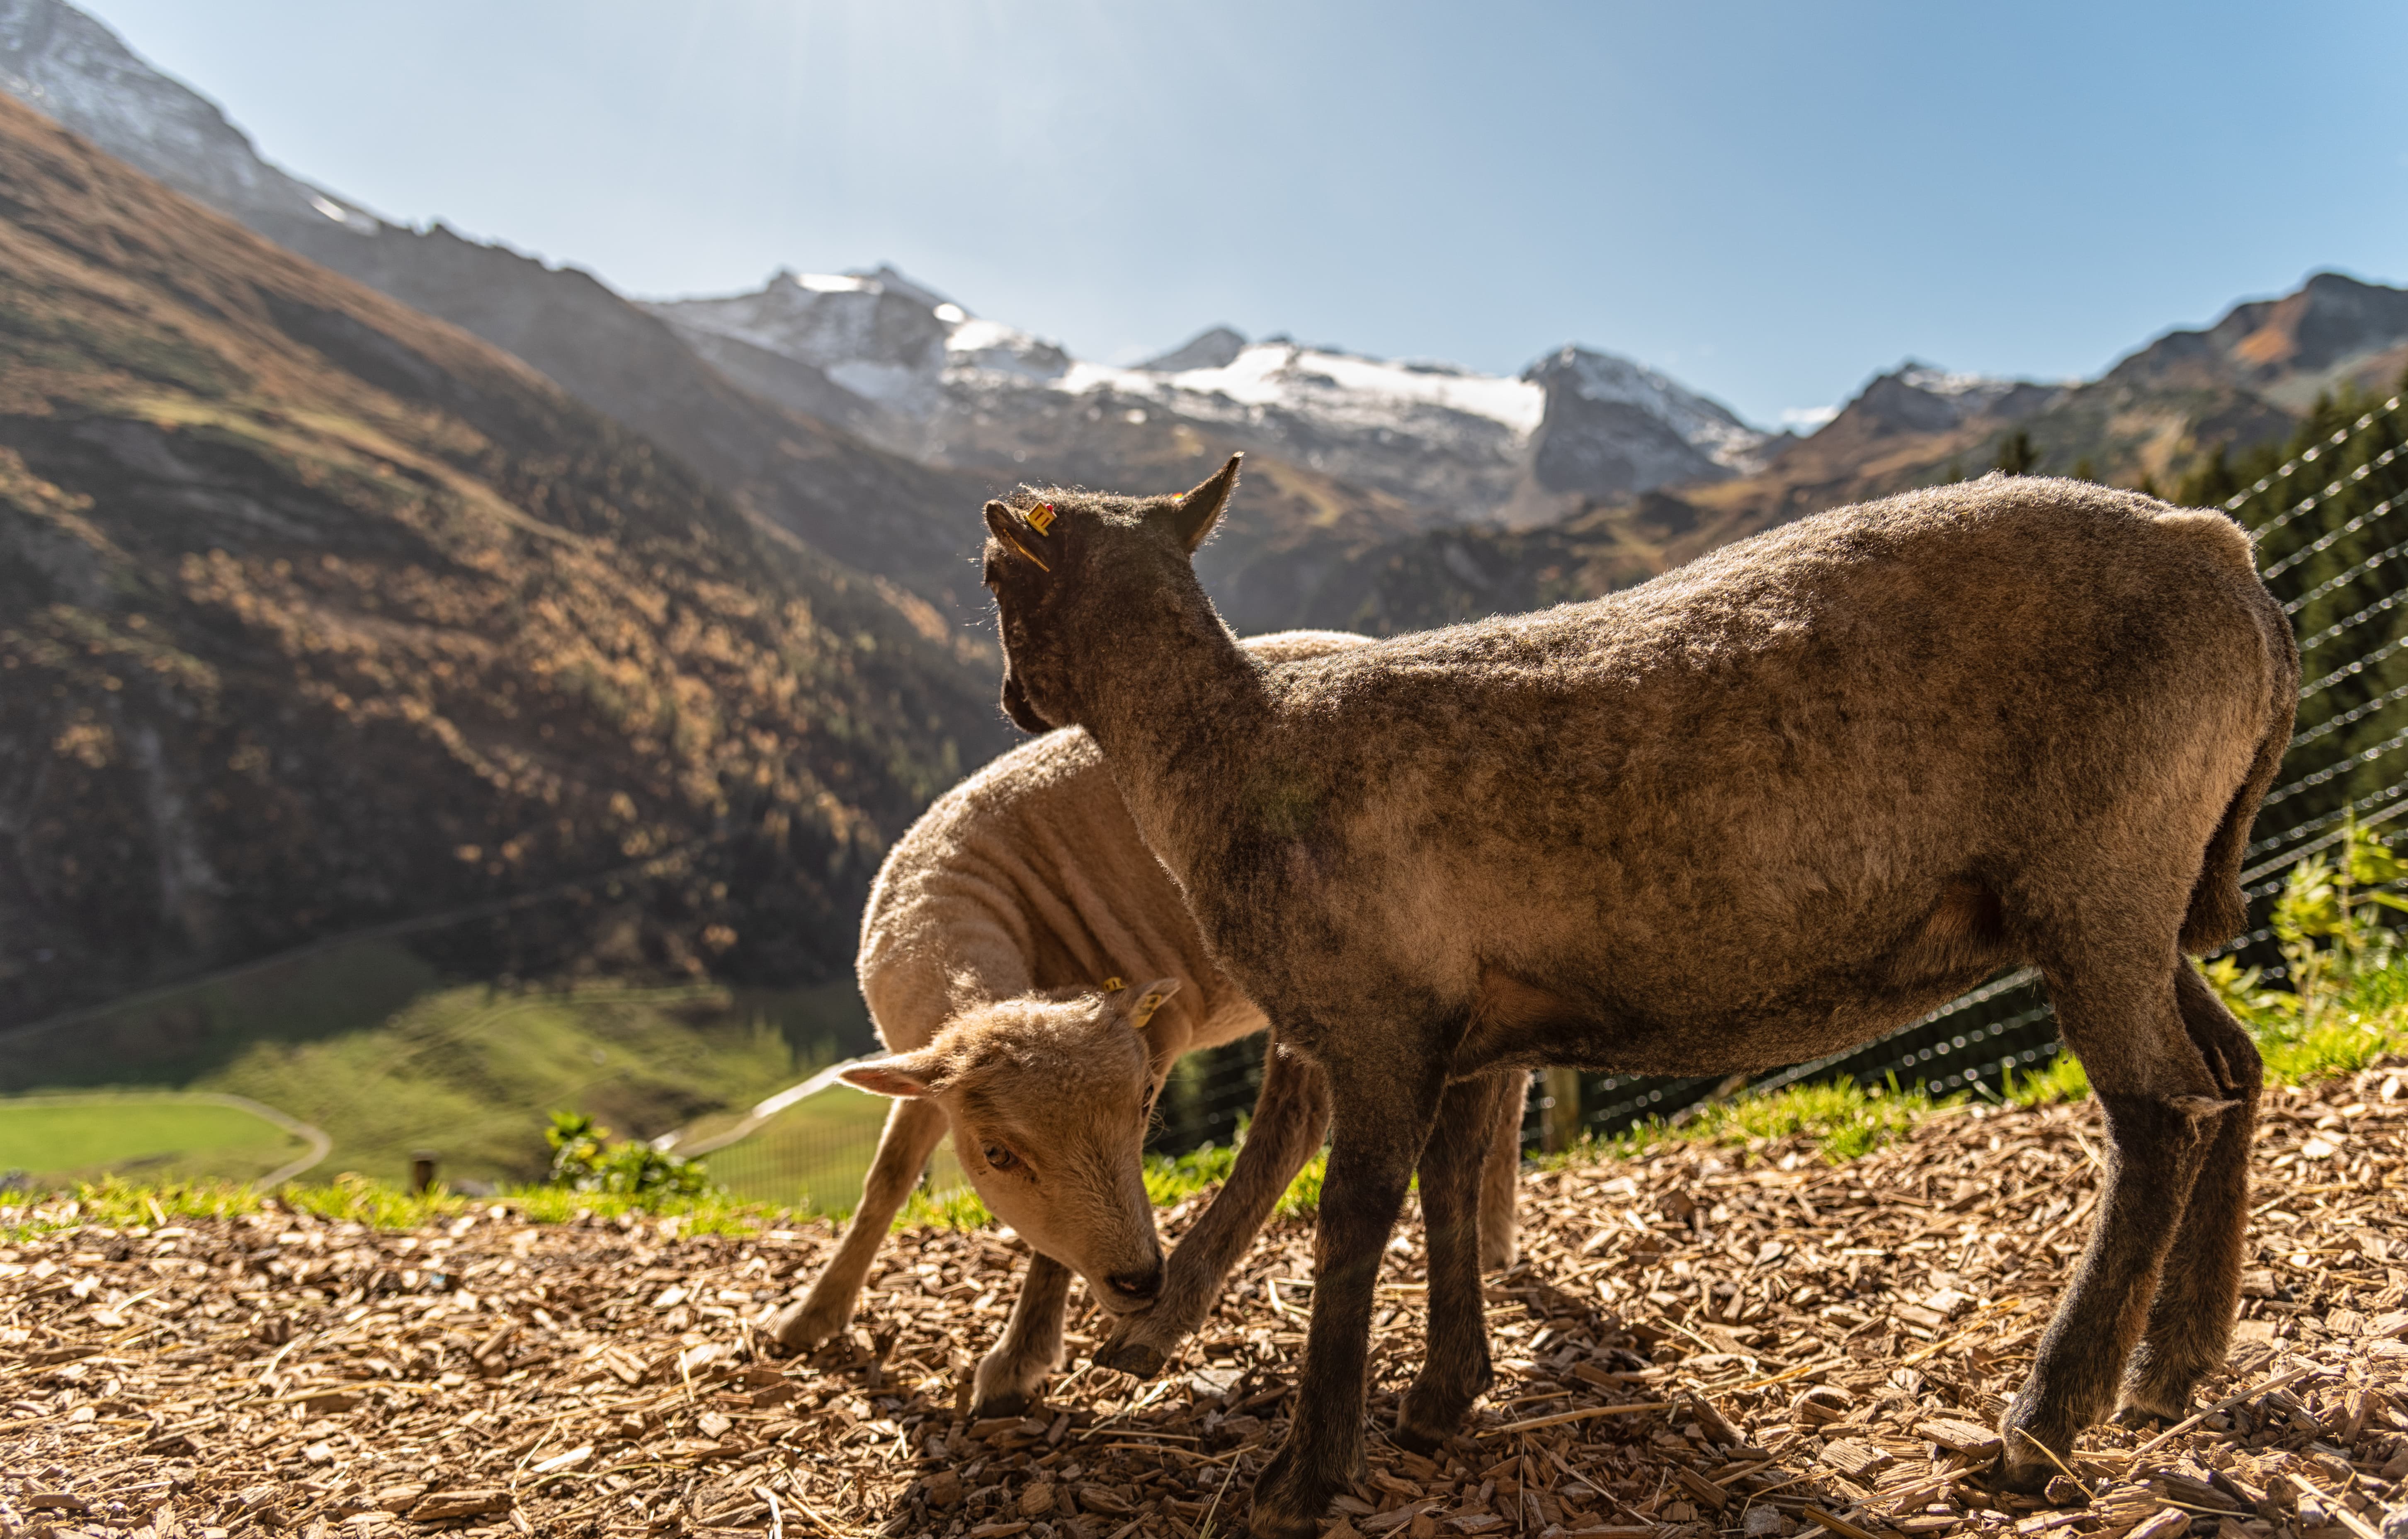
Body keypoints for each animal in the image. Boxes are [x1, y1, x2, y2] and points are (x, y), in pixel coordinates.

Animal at [769, 628, 1525, 1417]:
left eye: (1143, 1113)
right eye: (995, 1154)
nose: (1139, 1280)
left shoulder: (1155, 1040)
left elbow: (1041, 1247)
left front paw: (1019, 1358)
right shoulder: (927, 1071)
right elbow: (884, 1180)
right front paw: (812, 1315)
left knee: (1298, 1123)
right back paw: (1496, 1236)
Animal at [978, 455, 2297, 1536]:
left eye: (992, 573)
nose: (1009, 703)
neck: (1232, 749)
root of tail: (2232, 559)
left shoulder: (1380, 1022)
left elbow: (1352, 1231)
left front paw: (1303, 1477)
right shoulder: (1470, 1030)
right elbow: (1452, 1195)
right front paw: (1440, 1401)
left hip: (2099, 866)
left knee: (2157, 1117)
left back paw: (2043, 1425)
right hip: (2131, 893)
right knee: (2230, 1069)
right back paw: (2174, 1366)